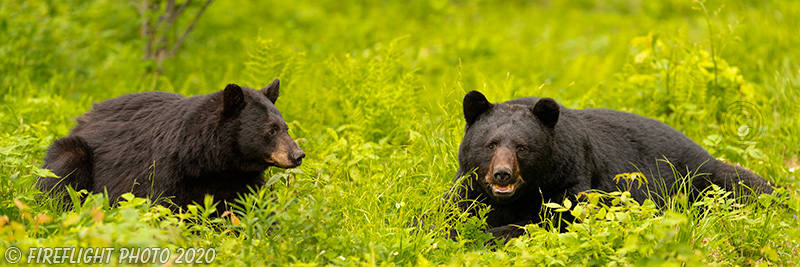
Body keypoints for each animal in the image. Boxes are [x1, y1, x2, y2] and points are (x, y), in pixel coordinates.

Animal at [35, 78, 304, 210]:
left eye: (286, 127)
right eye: (270, 130)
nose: (298, 154)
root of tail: (83, 118)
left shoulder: (242, 180)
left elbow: (254, 209)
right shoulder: (166, 170)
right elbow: (164, 207)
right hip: (73, 150)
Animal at [456, 91, 776, 241]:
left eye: (523, 147)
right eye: (490, 144)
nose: (502, 174)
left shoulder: (571, 177)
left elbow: (560, 220)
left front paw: (492, 234)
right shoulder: (469, 187)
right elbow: (453, 212)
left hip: (703, 177)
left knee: (749, 186)